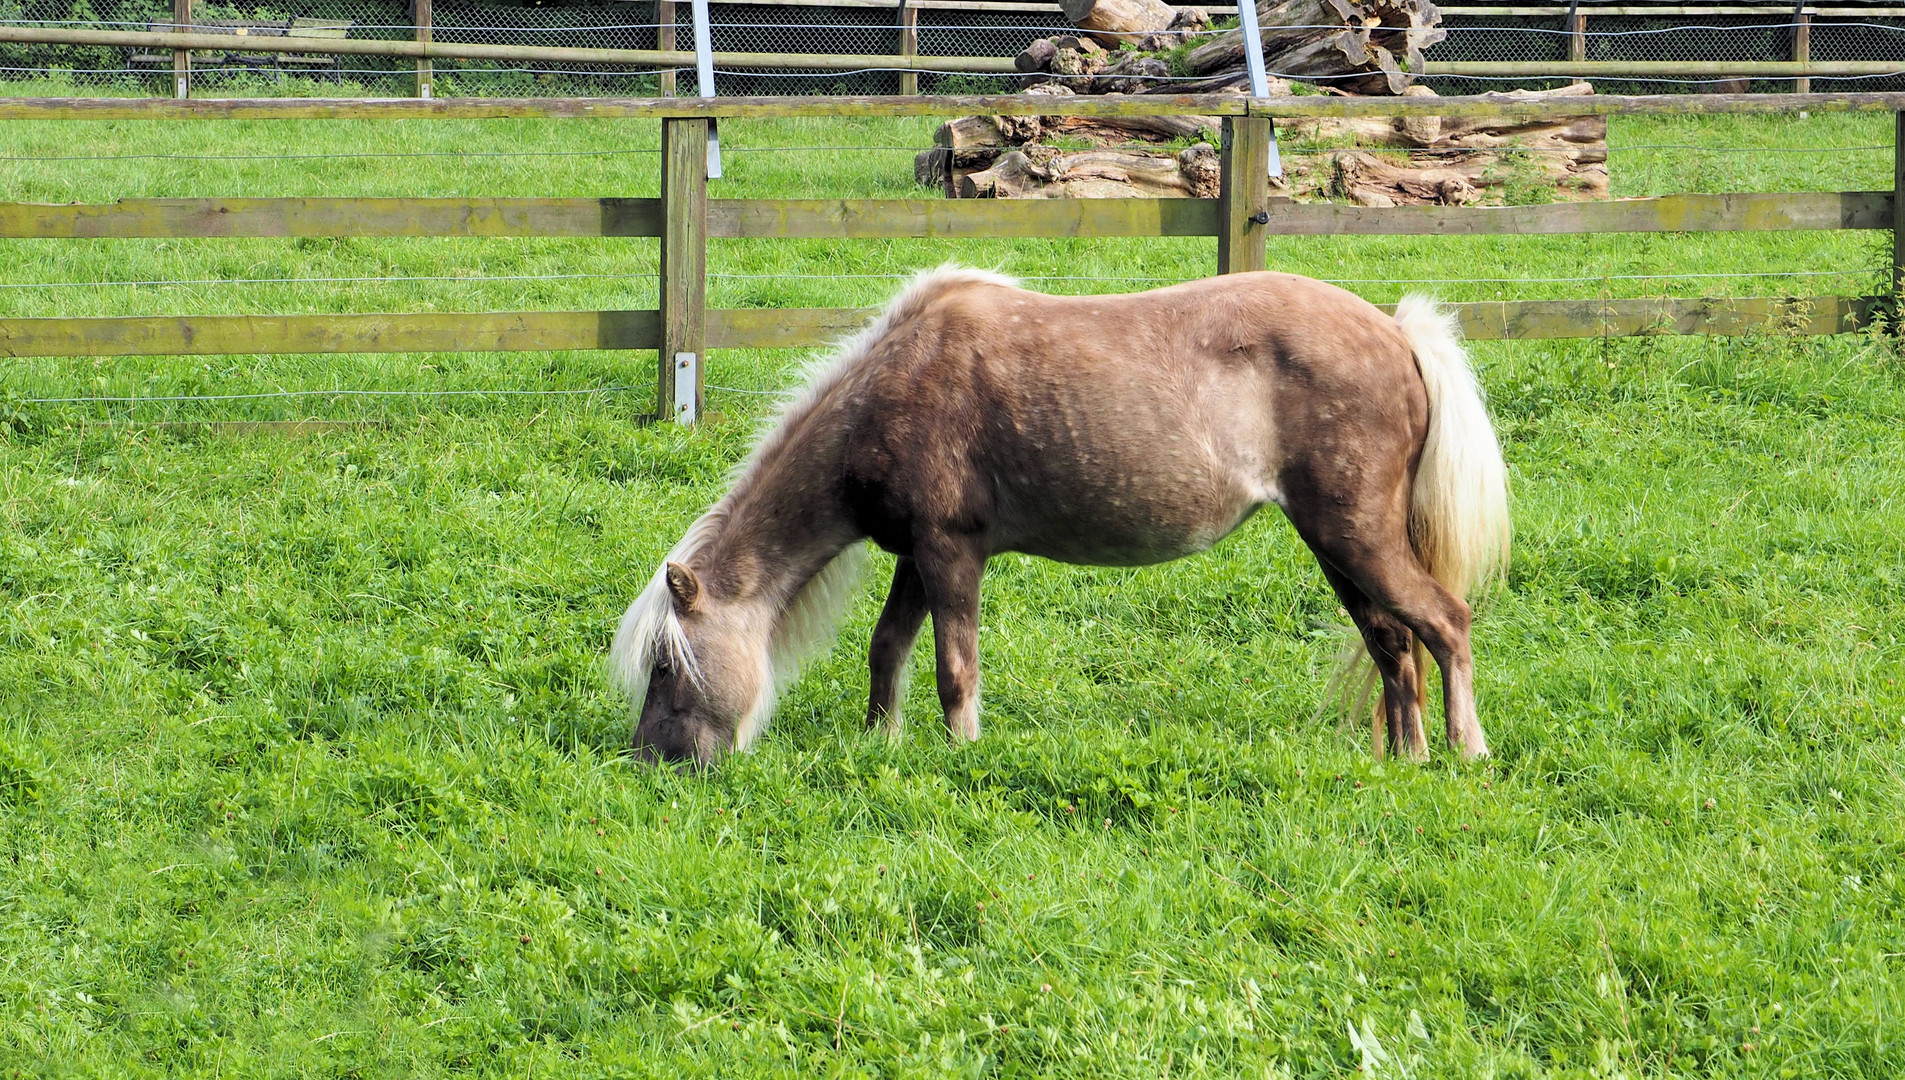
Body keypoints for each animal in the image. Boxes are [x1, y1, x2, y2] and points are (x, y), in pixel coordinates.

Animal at [605, 266, 1501, 765]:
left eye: (667, 664)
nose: (654, 763)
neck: (891, 392)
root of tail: (1396, 332)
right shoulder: (914, 555)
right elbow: (886, 649)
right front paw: (879, 743)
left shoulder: (951, 552)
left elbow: (952, 667)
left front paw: (960, 752)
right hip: (1336, 546)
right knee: (1391, 644)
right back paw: (1404, 758)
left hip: (1355, 536)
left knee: (1444, 625)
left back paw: (1464, 752)